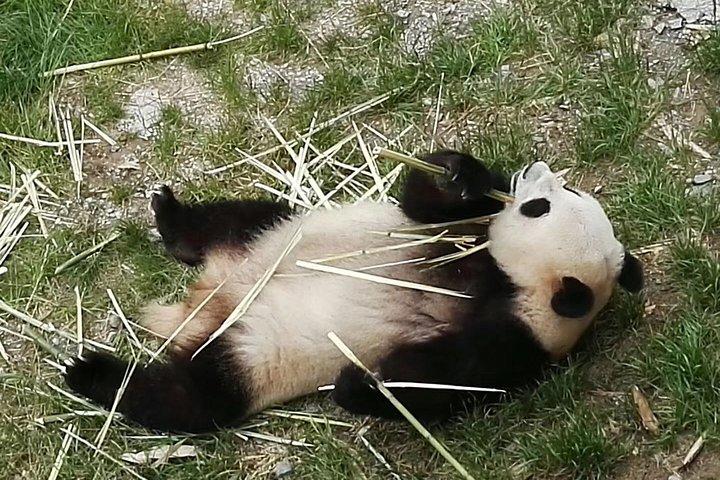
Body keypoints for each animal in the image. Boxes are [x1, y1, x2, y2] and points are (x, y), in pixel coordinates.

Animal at [64, 150, 643, 433]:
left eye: (539, 208)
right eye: (553, 196)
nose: (533, 171)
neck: (506, 278)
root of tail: (205, 301)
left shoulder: (522, 337)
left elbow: (445, 381)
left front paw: (358, 385)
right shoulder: (458, 235)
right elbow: (425, 207)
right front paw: (461, 175)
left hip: (247, 350)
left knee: (191, 398)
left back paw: (92, 372)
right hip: (270, 233)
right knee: (234, 220)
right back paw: (170, 214)